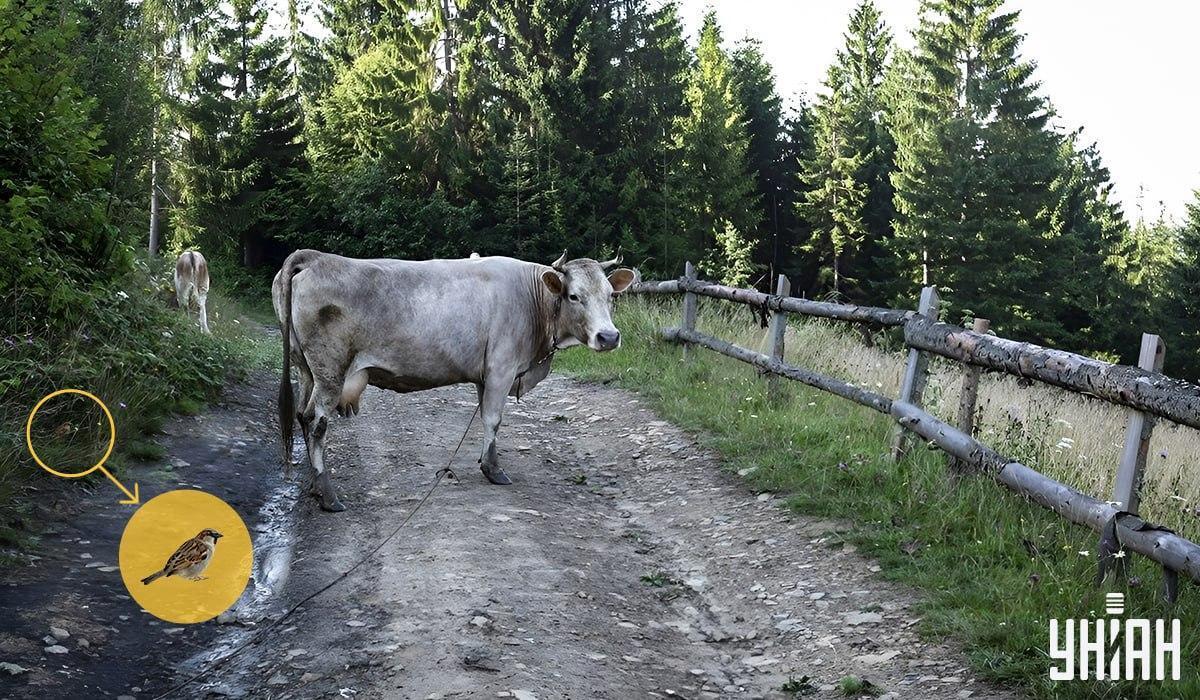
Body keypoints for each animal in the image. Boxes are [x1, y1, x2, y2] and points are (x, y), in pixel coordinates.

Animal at [273, 249, 638, 511]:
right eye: (574, 296)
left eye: (611, 295)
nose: (608, 337)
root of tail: (314, 257)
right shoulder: (502, 369)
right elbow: (493, 418)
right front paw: (493, 470)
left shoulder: (484, 374)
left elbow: (484, 417)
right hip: (329, 372)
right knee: (317, 424)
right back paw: (329, 496)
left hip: (307, 370)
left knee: (303, 416)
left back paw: (314, 486)